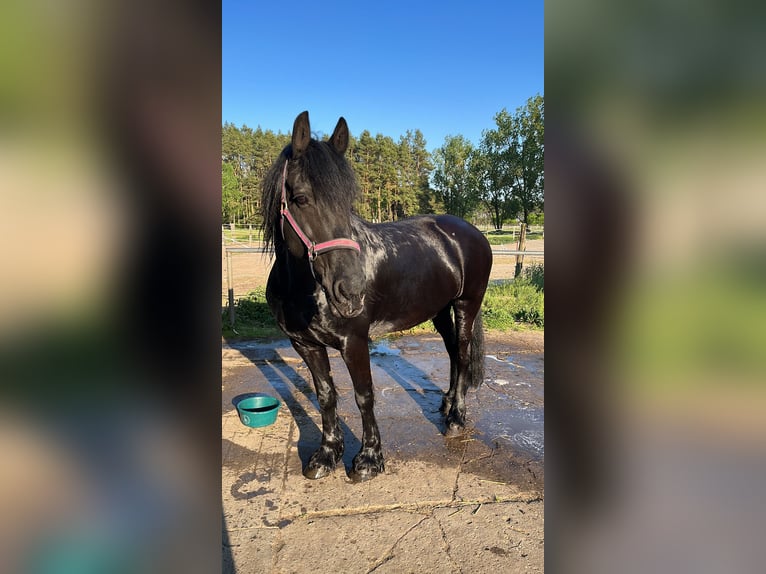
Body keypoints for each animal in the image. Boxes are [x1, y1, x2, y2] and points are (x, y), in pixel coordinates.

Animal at [262, 111, 492, 482]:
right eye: (301, 198)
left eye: (347, 202)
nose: (351, 290)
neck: (303, 291)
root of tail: (472, 231)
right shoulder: (305, 345)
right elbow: (325, 395)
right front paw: (326, 455)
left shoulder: (354, 341)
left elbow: (363, 395)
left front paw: (368, 459)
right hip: (439, 310)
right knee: (453, 354)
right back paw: (446, 404)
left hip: (466, 305)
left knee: (462, 350)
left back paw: (456, 417)